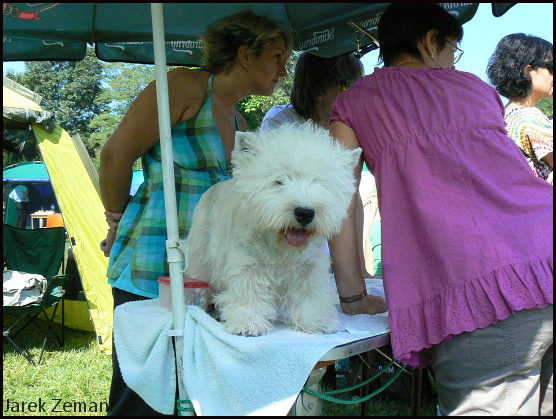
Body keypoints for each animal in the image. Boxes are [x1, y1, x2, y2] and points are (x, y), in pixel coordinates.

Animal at [186, 122, 360, 338]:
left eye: (320, 183)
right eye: (279, 181)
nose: (305, 213)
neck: (282, 247)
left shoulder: (310, 267)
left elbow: (311, 293)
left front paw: (317, 322)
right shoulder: (246, 263)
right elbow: (247, 291)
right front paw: (248, 323)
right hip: (200, 253)